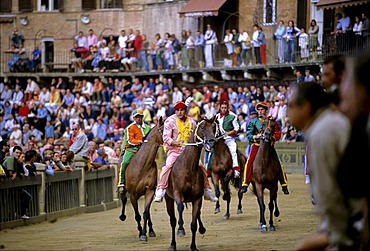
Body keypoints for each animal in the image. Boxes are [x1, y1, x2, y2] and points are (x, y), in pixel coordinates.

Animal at [165, 117, 217, 251]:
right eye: (202, 127)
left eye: (214, 127)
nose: (212, 141)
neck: (188, 168)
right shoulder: (177, 193)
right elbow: (180, 207)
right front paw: (181, 229)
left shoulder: (197, 198)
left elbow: (194, 224)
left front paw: (193, 246)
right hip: (168, 199)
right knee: (172, 220)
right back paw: (172, 244)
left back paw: (202, 228)